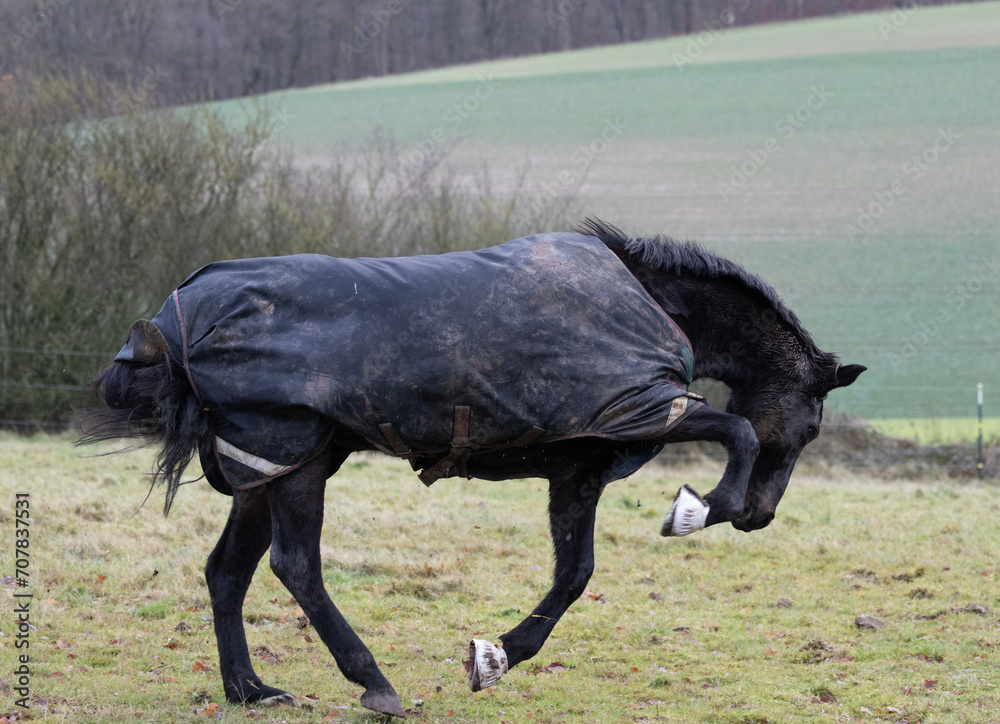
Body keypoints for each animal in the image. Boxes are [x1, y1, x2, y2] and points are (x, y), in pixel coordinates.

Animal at [80, 219, 864, 718]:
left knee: (227, 573)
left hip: (269, 466)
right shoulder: (642, 407)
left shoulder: (579, 470)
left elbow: (573, 577)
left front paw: (496, 656)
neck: (654, 305)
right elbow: (740, 430)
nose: (760, 517)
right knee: (296, 567)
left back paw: (250, 689)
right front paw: (698, 509)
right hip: (295, 464)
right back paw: (372, 681)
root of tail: (177, 318)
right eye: (812, 426)